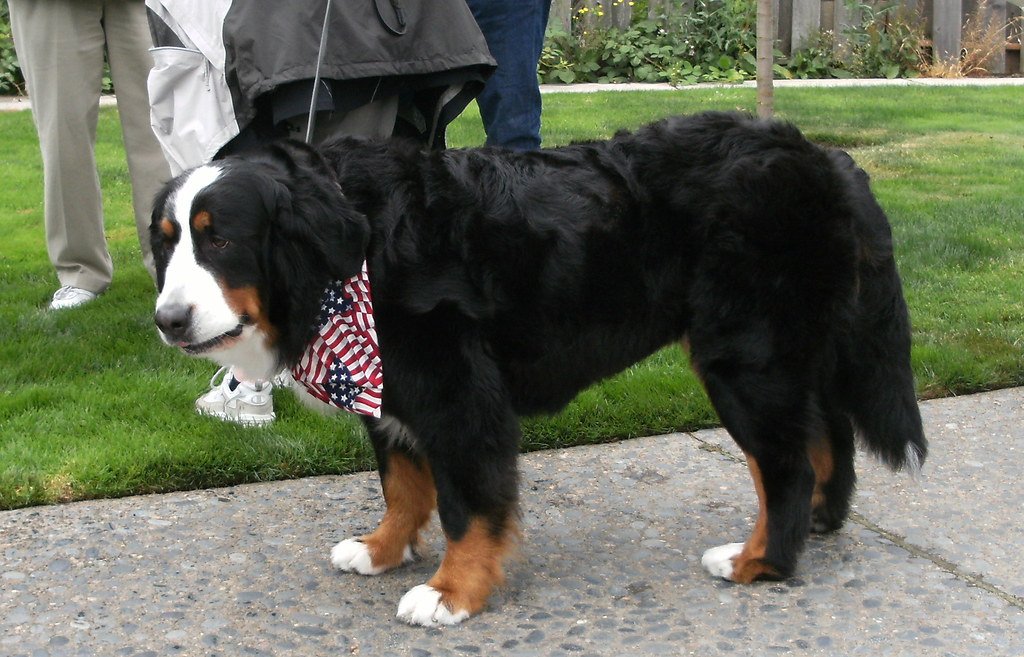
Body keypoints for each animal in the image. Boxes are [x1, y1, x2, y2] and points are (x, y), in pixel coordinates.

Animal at [149, 111, 929, 622]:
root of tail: (824, 157)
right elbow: (403, 483)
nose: (167, 320)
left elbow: (467, 506)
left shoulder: (459, 396)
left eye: (223, 241)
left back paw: (758, 561)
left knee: (786, 464)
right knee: (827, 439)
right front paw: (381, 550)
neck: (359, 244)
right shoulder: (395, 396)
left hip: (743, 355)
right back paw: (820, 524)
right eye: (168, 241)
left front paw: (451, 593)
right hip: (789, 352)